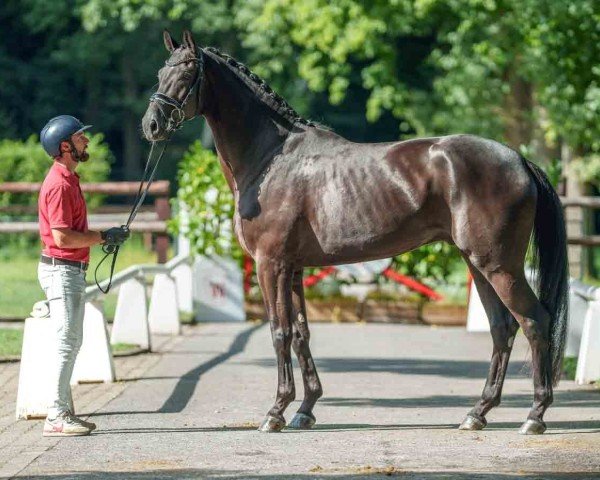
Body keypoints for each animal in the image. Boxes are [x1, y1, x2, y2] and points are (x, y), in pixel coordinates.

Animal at [141, 30, 568, 436]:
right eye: (160, 73)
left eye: (186, 74)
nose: (151, 126)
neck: (271, 159)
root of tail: (518, 160)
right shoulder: (293, 268)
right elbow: (301, 332)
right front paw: (305, 409)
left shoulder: (270, 264)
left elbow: (279, 332)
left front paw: (276, 412)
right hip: (478, 265)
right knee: (502, 328)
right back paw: (477, 413)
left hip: (499, 265)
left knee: (534, 322)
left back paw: (534, 416)